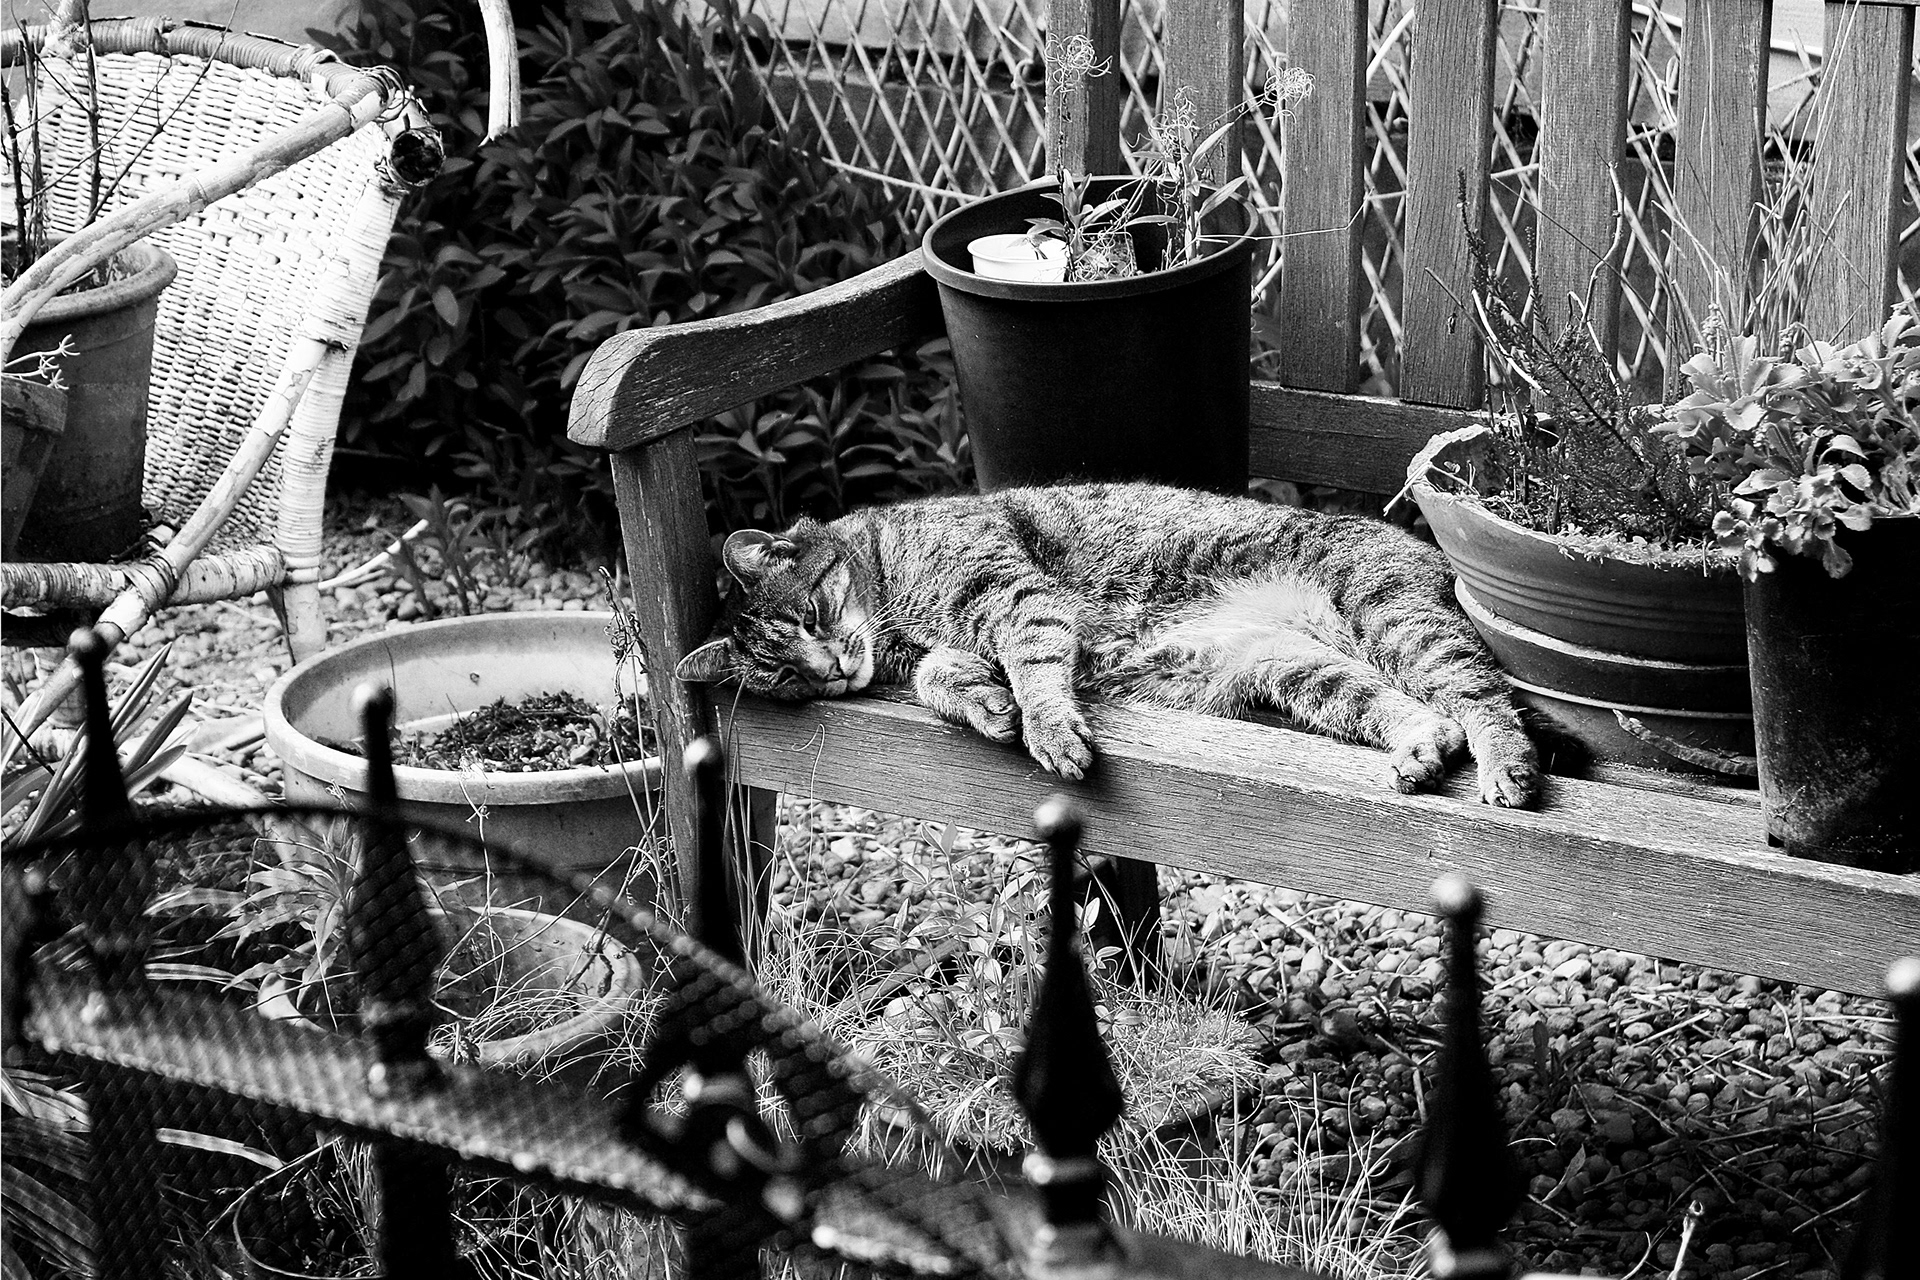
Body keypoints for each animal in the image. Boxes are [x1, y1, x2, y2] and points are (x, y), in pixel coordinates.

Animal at [677, 483, 1540, 807]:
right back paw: (1420, 751)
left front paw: (1046, 729)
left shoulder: (1015, 596)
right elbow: (944, 677)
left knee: (1483, 701)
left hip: (1394, 617)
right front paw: (985, 705)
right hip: (1294, 669)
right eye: (784, 677)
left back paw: (1508, 770)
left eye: (812, 614)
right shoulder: (947, 643)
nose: (830, 667)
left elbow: (1033, 668)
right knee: (1425, 715)